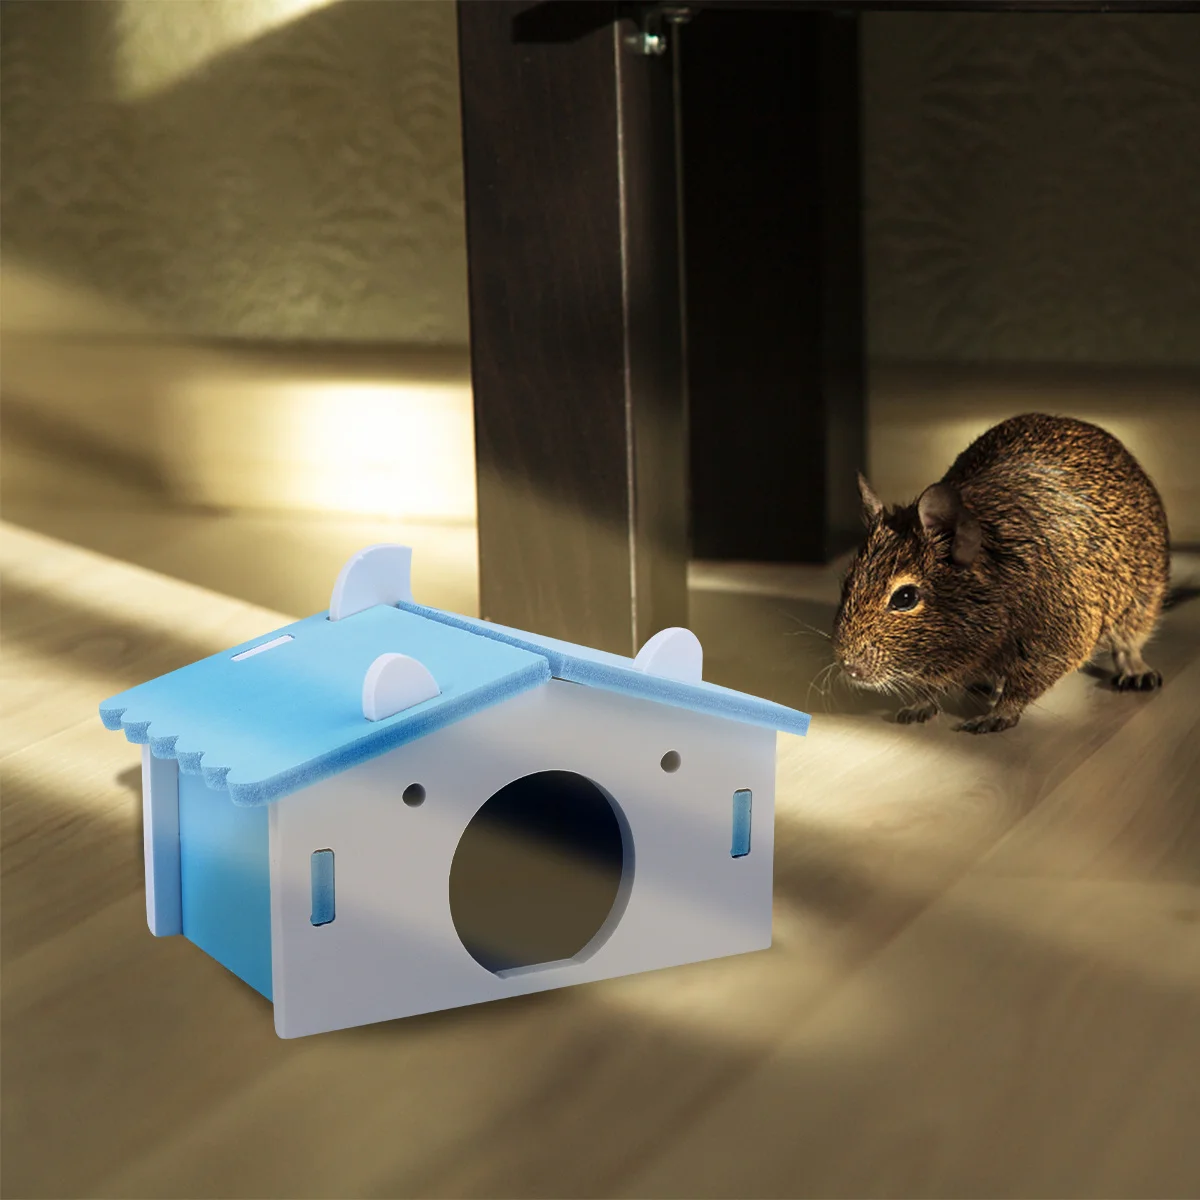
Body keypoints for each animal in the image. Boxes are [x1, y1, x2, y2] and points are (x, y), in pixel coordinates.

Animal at [831, 413, 1170, 733]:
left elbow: (1022, 687)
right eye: (847, 583)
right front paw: (918, 705)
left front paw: (996, 716)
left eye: (905, 597)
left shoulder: (1058, 641)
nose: (849, 667)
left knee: (1128, 647)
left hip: (1141, 604)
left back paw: (1138, 674)